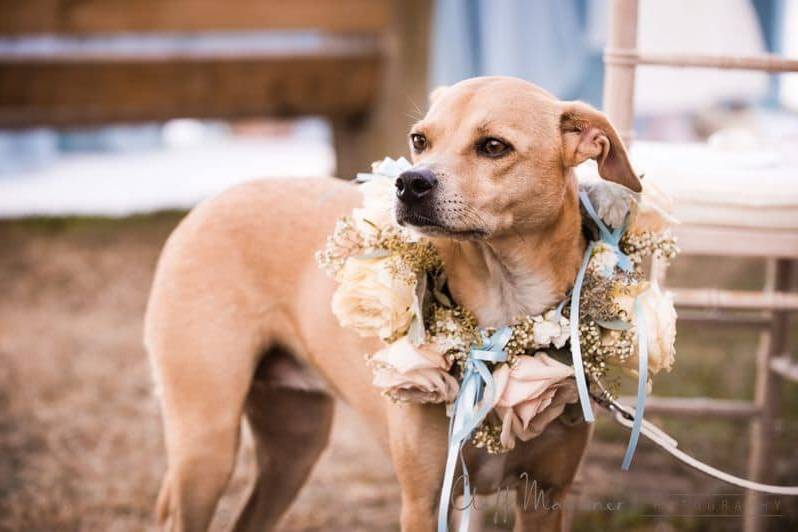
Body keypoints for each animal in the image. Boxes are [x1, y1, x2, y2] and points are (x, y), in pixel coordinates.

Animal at [145, 76, 644, 532]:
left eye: (494, 146)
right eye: (419, 140)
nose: (409, 183)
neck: (503, 308)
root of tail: (208, 203)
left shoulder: (542, 499)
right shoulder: (423, 501)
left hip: (293, 445)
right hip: (206, 444)